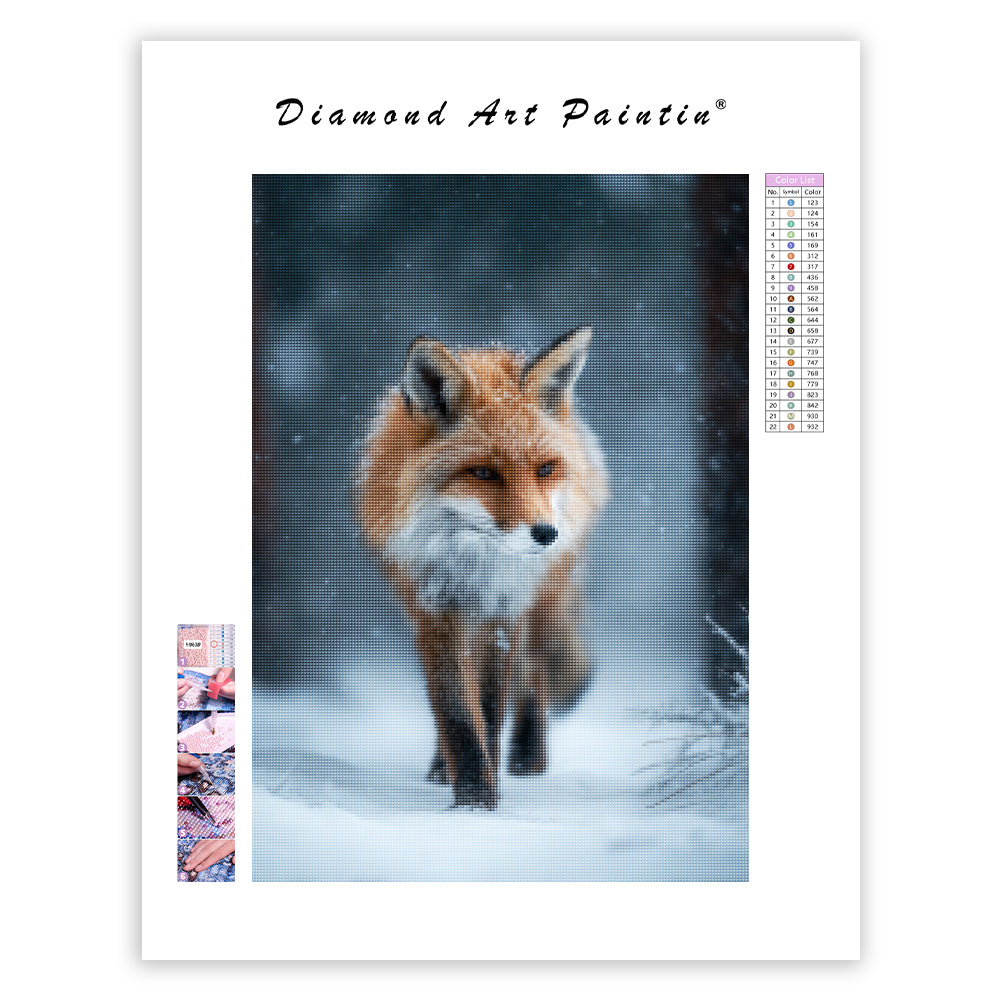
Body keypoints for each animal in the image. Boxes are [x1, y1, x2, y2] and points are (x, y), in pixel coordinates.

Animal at [356, 325, 607, 809]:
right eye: (484, 473)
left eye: (545, 468)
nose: (546, 534)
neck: (474, 563)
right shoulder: (434, 605)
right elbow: (454, 706)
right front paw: (472, 793)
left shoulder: (502, 610)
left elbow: (491, 708)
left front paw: (482, 794)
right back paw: (442, 766)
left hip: (543, 601)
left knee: (533, 676)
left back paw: (528, 757)